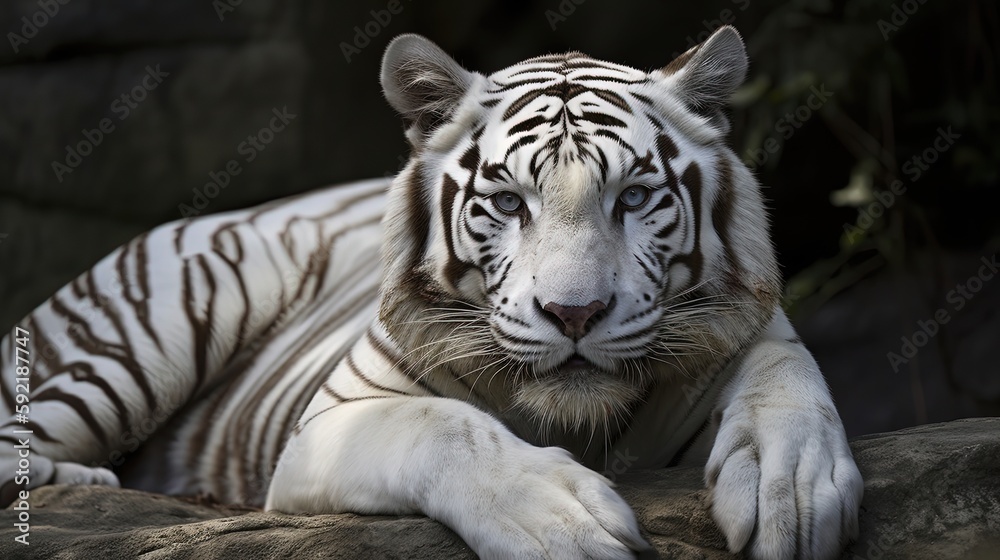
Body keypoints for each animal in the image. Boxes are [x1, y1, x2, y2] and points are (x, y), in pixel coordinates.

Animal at [0, 26, 863, 559]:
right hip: (153, 323)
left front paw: (793, 493)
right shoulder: (325, 429)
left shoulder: (754, 328)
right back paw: (95, 483)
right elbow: (445, 427)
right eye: (509, 202)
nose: (575, 313)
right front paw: (561, 520)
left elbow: (788, 375)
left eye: (635, 197)